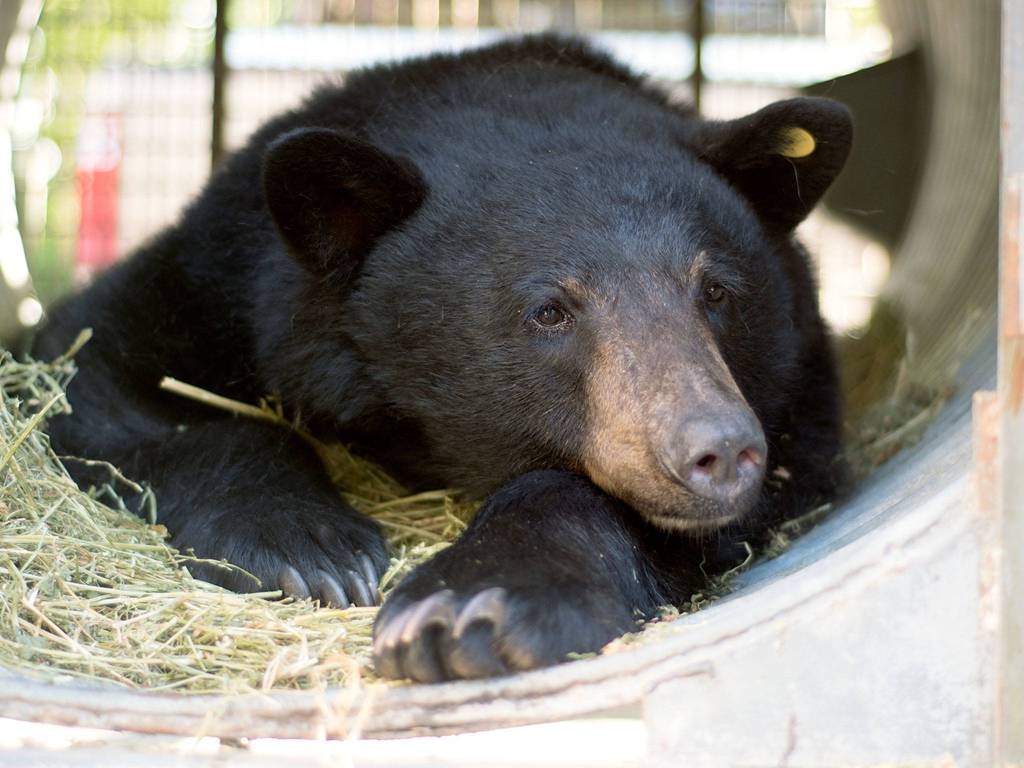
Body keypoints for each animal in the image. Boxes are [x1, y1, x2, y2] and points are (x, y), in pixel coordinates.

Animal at [32, 35, 850, 683]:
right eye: (549, 310)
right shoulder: (208, 281)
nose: (720, 450)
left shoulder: (794, 402)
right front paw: (311, 549)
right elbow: (94, 384)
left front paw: (467, 608)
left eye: (715, 289)